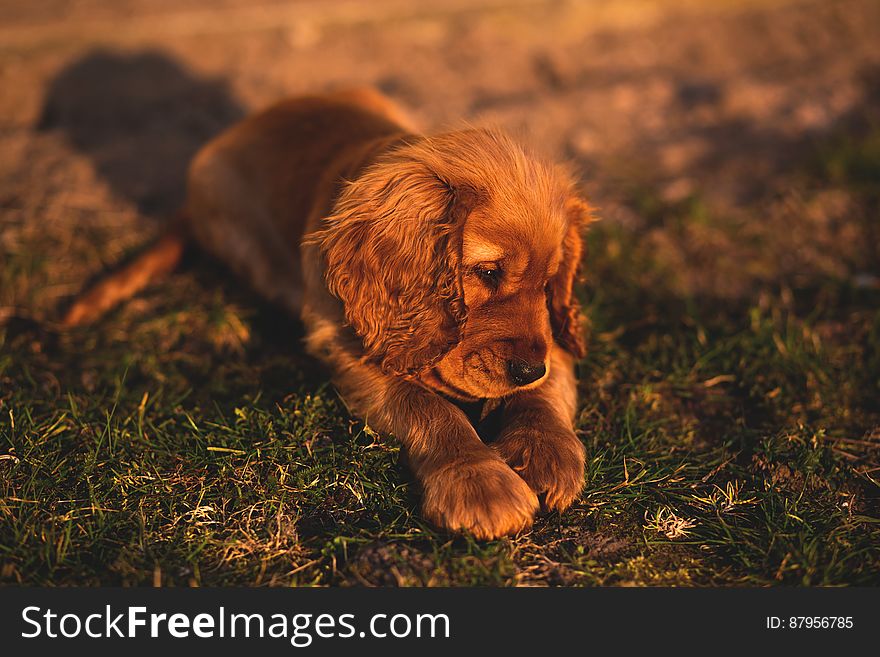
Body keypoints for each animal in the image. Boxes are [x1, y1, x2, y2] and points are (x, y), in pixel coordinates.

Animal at [65, 87, 596, 540]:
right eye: (486, 272)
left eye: (549, 283)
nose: (525, 368)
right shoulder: (345, 345)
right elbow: (428, 406)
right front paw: (479, 483)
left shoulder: (551, 337)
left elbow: (548, 383)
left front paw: (546, 451)